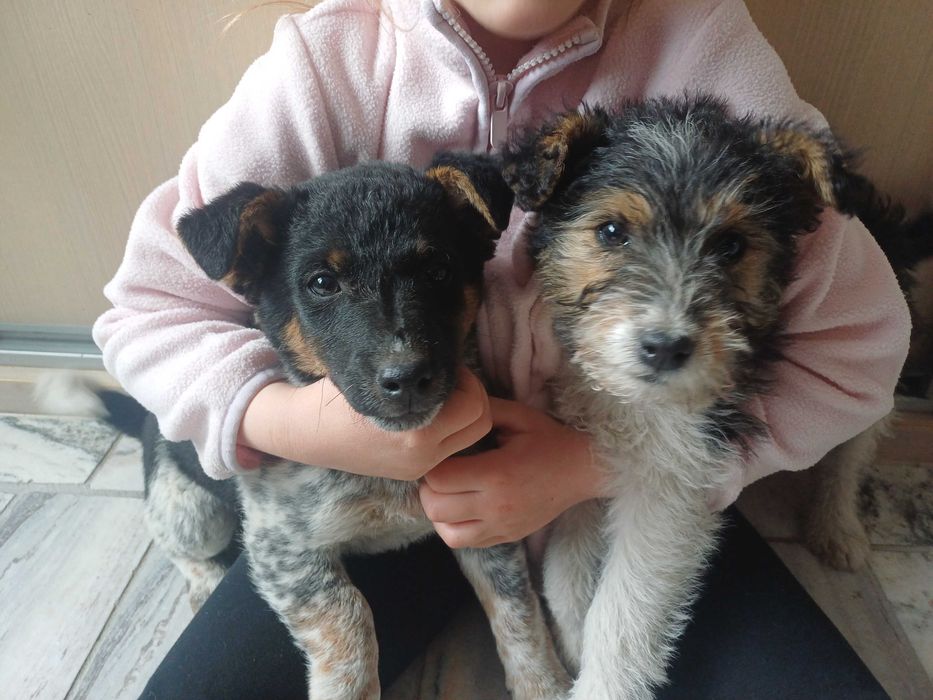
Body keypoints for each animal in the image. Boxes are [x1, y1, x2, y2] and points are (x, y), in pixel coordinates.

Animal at [46, 154, 570, 700]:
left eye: (440, 271)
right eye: (322, 283)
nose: (406, 378)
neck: (385, 473)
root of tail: (147, 420)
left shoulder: (483, 522)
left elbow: (517, 610)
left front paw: (544, 685)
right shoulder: (282, 550)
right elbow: (348, 621)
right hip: (192, 511)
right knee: (176, 543)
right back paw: (204, 582)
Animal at [500, 95, 890, 699]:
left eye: (732, 245)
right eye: (610, 230)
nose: (665, 347)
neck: (635, 404)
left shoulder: (675, 485)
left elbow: (622, 616)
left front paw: (599, 682)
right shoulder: (581, 457)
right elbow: (568, 575)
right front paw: (569, 645)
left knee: (851, 448)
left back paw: (838, 527)